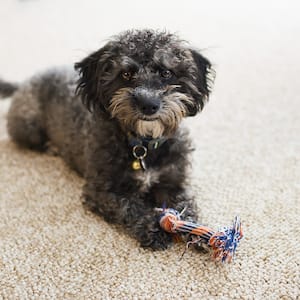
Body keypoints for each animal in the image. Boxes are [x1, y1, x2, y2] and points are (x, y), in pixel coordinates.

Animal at [1, 29, 214, 250]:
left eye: (166, 73)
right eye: (126, 74)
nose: (148, 104)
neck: (143, 144)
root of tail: (25, 82)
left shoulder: (174, 182)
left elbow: (185, 205)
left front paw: (198, 232)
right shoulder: (102, 191)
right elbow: (131, 207)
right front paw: (153, 229)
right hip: (28, 127)